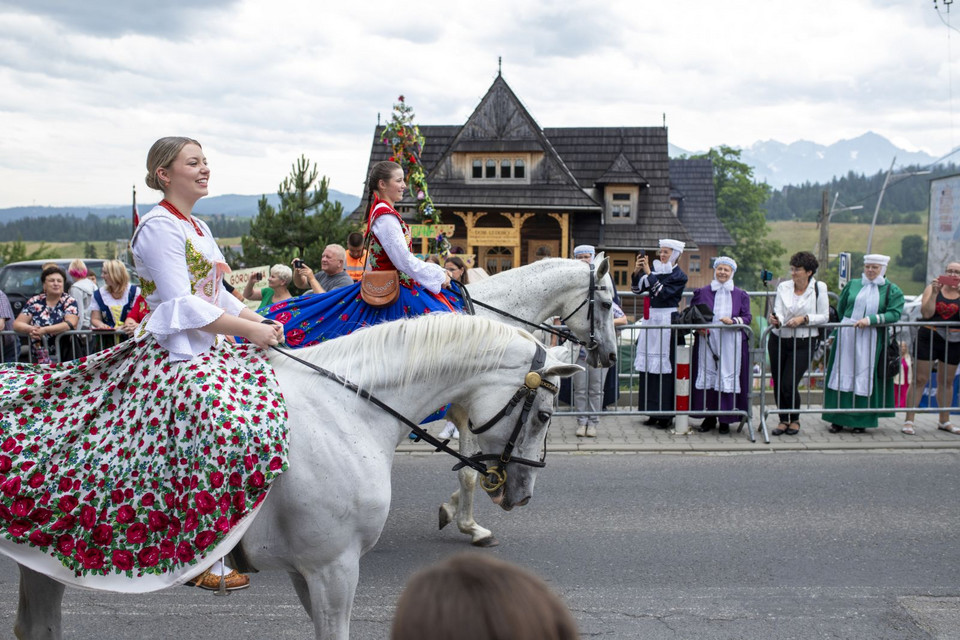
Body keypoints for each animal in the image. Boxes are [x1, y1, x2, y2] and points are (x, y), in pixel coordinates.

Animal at [11, 316, 580, 640]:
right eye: (544, 415)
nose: (521, 493)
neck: (347, 411)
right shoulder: (334, 568)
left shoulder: (309, 571)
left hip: (39, 563)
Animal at [436, 255, 616, 544]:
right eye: (607, 304)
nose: (612, 355)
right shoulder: (473, 419)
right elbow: (469, 473)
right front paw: (471, 526)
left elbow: (475, 468)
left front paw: (452, 508)